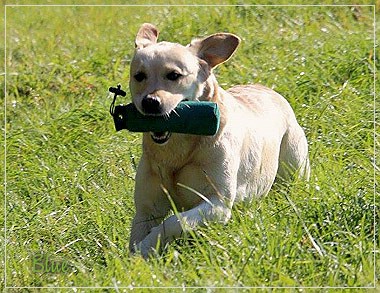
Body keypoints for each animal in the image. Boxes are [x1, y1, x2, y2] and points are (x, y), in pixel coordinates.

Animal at [127, 22, 308, 256]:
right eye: (139, 76)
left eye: (174, 75)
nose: (150, 102)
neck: (177, 148)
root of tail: (268, 89)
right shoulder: (146, 208)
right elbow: (140, 230)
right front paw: (135, 256)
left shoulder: (217, 204)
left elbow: (174, 222)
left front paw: (146, 246)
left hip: (293, 166)